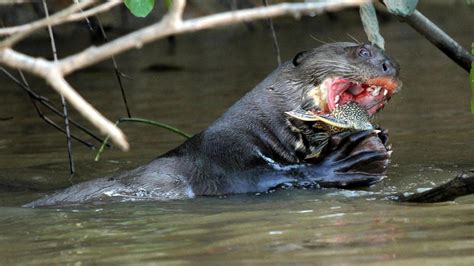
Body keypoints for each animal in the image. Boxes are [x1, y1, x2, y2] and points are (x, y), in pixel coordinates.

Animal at [25, 42, 402, 208]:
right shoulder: (222, 164)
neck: (253, 130)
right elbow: (262, 178)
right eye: (359, 51)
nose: (391, 64)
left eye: (383, 53)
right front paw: (345, 161)